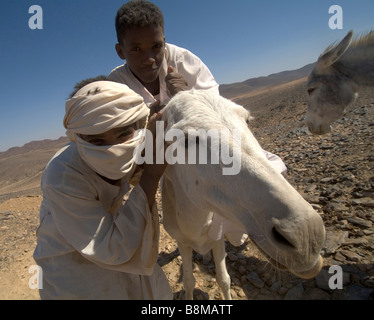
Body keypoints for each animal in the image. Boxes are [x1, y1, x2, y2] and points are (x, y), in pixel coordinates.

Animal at [160, 90, 324, 300]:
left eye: (247, 120)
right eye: (185, 140)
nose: (307, 236)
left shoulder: (217, 239)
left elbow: (224, 279)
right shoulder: (182, 242)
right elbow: (189, 282)